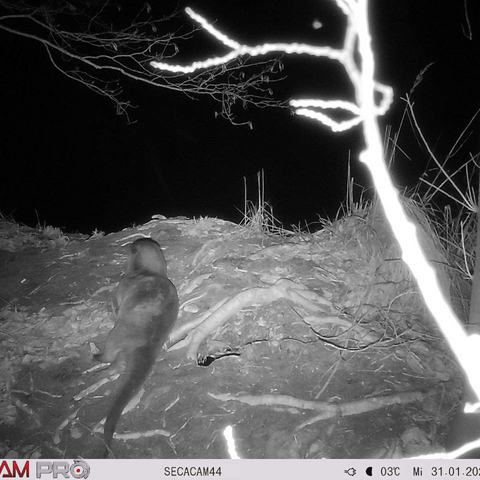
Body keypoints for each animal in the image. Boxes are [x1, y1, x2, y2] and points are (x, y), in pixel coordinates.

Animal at [95, 237, 180, 458]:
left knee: (110, 358)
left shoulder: (121, 287)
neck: (144, 271)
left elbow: (114, 301)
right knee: (118, 365)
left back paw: (97, 360)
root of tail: (146, 346)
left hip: (115, 336)